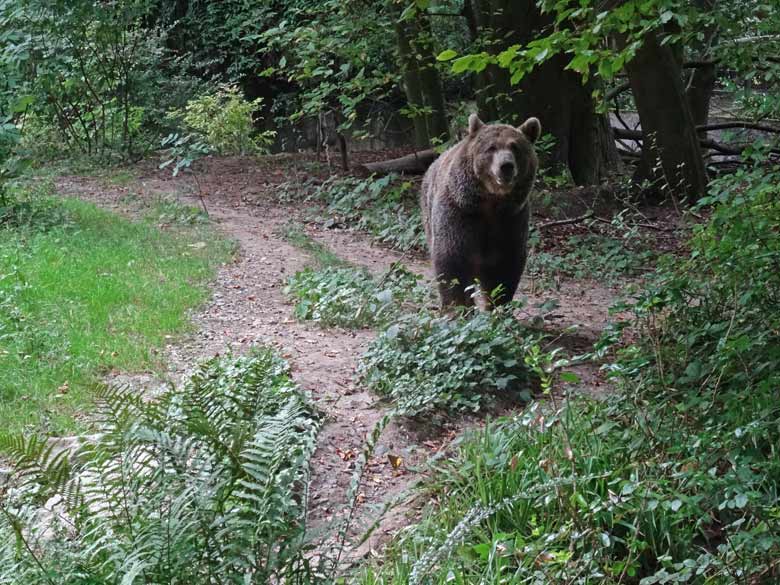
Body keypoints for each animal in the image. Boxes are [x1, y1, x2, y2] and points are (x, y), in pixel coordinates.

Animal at [420, 112, 544, 308]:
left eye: (515, 147)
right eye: (491, 147)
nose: (506, 166)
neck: (490, 202)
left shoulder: (511, 219)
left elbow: (504, 266)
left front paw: (497, 303)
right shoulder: (459, 213)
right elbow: (452, 260)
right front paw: (458, 305)